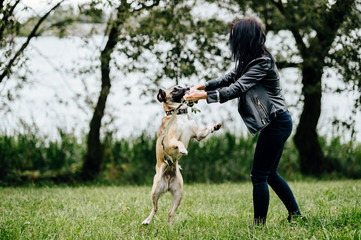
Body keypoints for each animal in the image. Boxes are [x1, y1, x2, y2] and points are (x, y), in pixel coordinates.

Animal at [141, 86, 221, 225]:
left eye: (181, 86)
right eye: (174, 90)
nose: (187, 88)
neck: (179, 113)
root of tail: (167, 182)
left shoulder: (198, 134)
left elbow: (206, 130)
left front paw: (215, 127)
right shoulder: (170, 140)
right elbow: (179, 142)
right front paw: (183, 149)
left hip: (178, 194)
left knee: (170, 213)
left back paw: (170, 228)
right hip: (155, 190)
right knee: (155, 208)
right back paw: (147, 220)